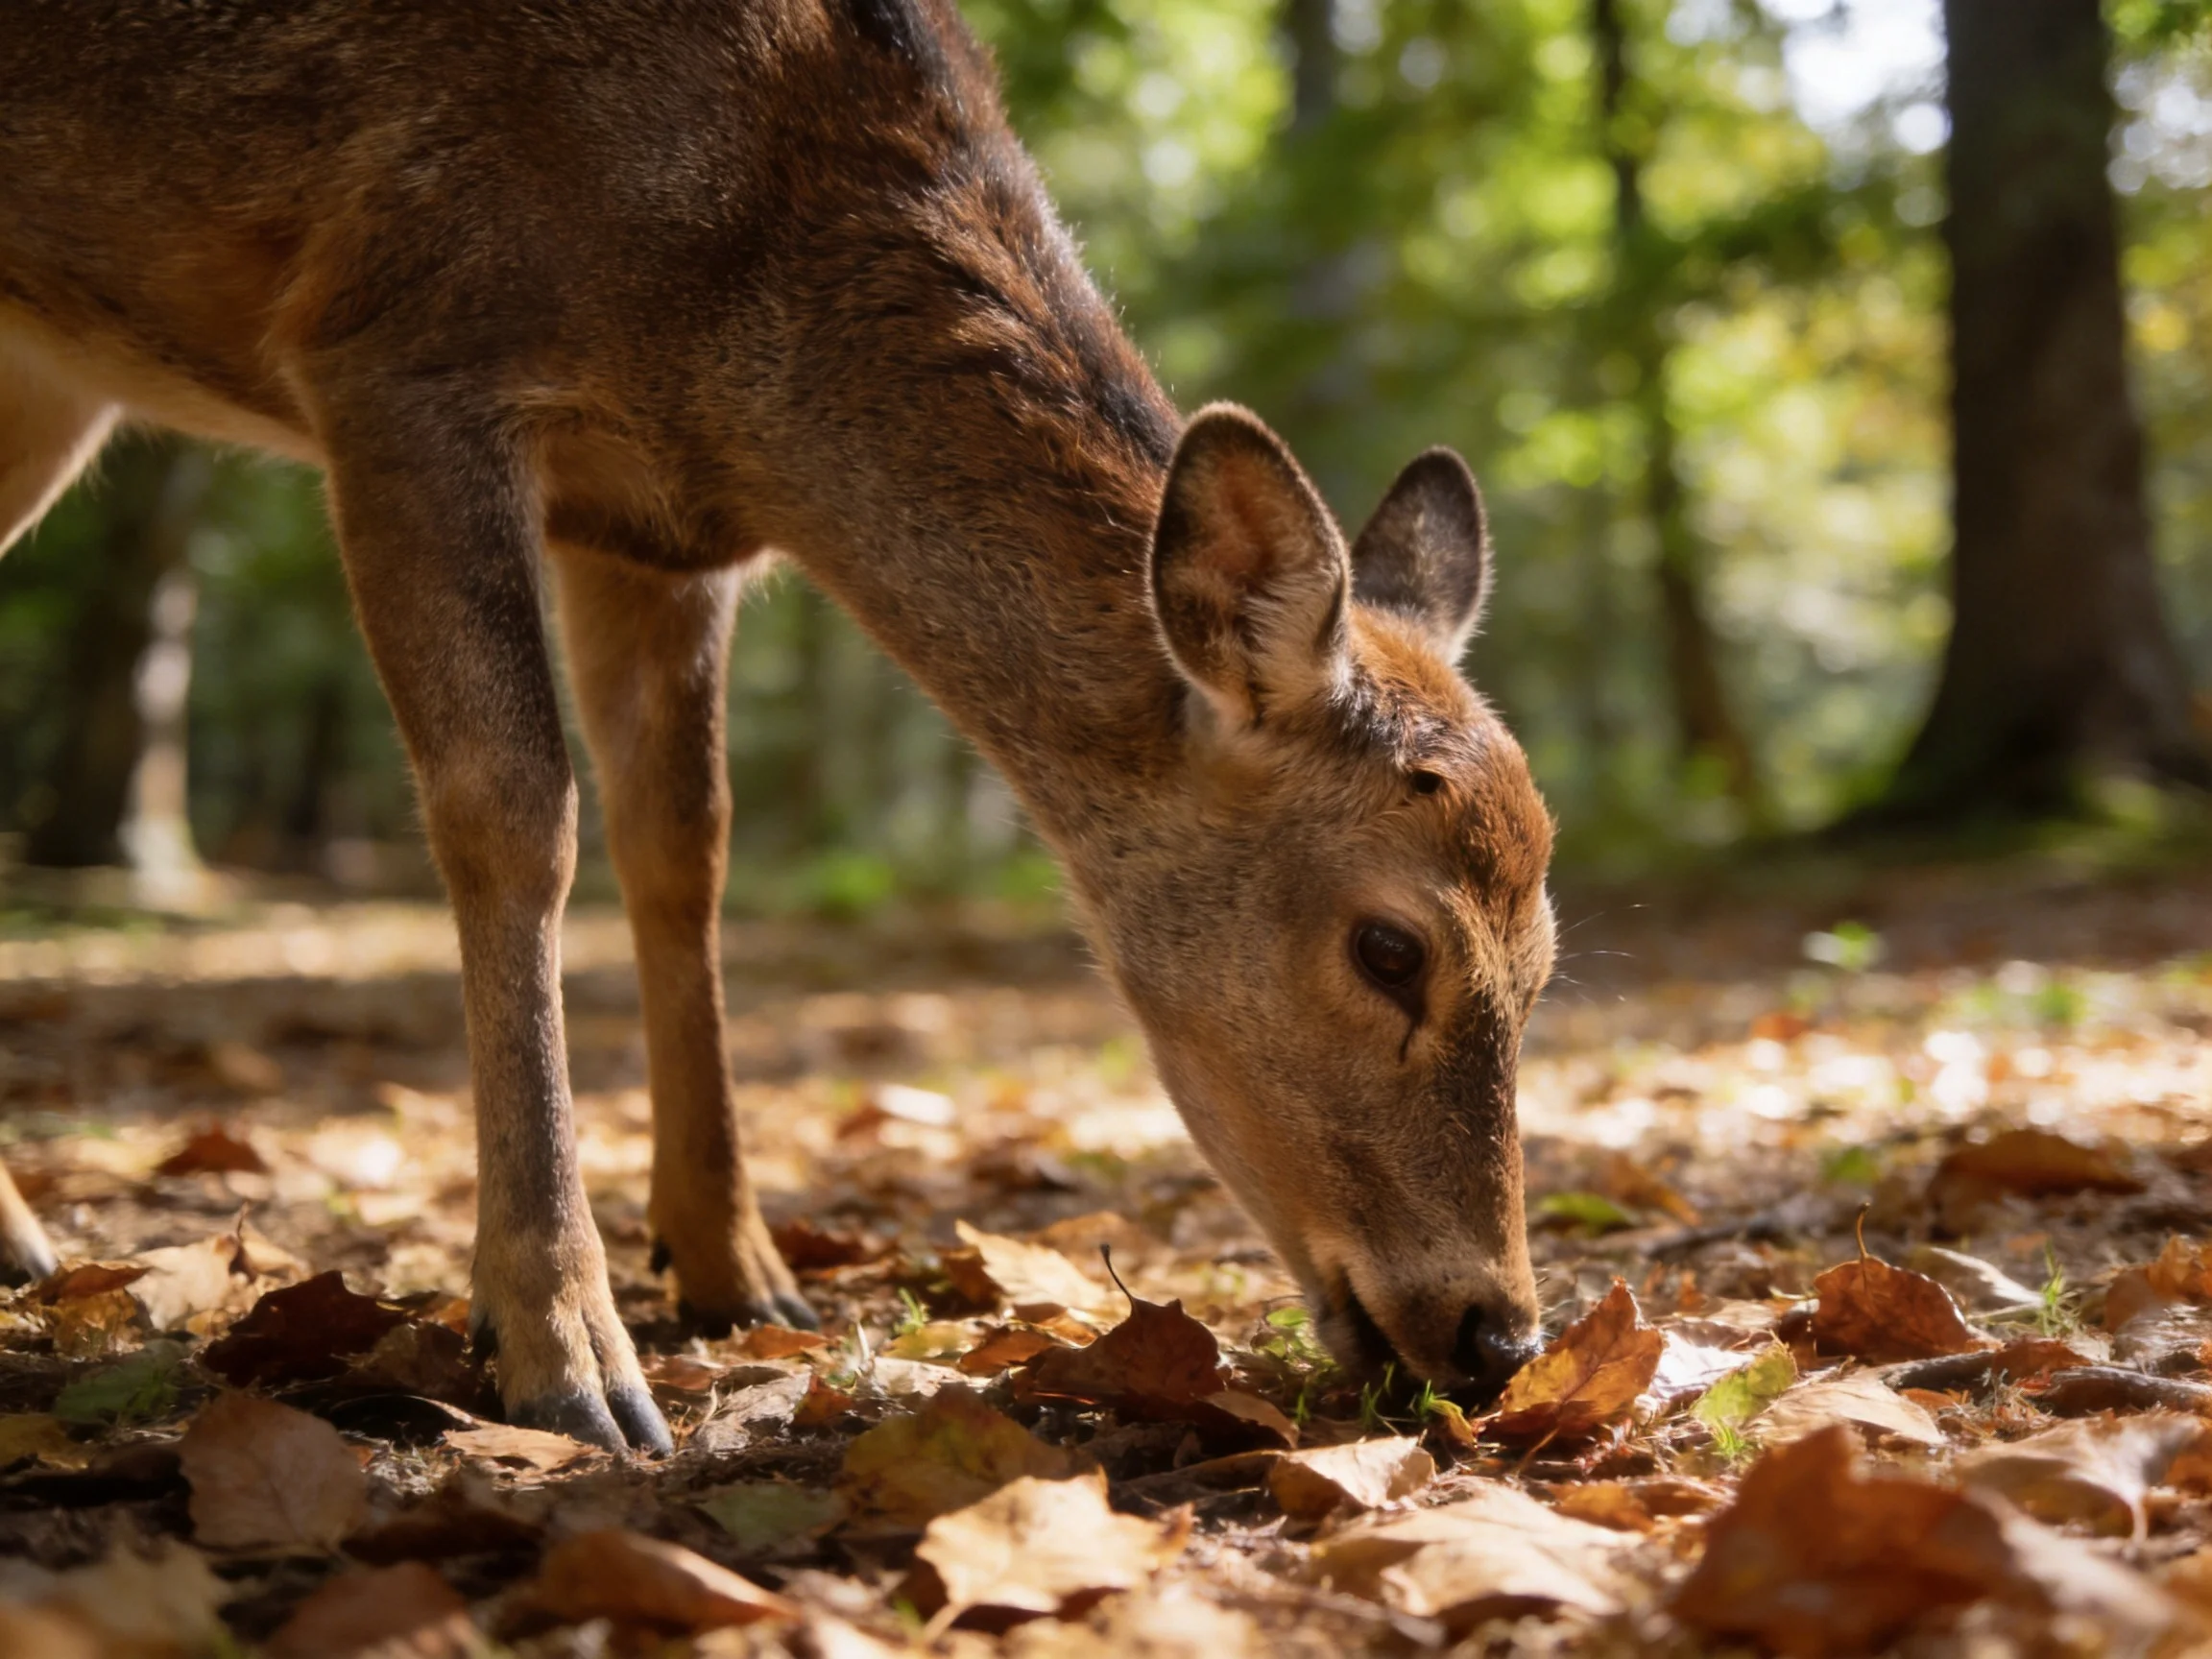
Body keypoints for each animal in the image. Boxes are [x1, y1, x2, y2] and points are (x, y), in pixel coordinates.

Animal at [0, 0, 1558, 1452]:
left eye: (1546, 963)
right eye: (1389, 947)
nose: (1498, 1334)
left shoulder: (653, 531)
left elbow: (684, 844)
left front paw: (732, 1266)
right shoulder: (396, 350)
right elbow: (515, 811)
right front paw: (562, 1347)